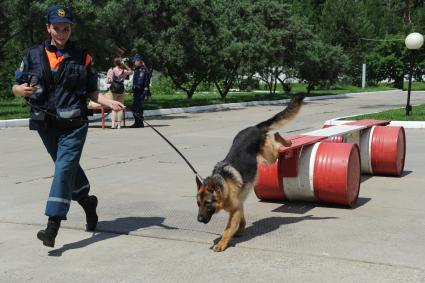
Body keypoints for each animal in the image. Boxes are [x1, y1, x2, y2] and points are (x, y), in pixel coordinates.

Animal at [196, 93, 304, 253]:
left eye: (207, 204)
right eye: (198, 203)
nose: (198, 220)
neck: (224, 184)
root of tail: (255, 127)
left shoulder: (234, 209)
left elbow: (228, 229)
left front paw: (222, 243)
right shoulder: (239, 205)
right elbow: (241, 220)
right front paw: (240, 230)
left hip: (270, 157)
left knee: (277, 147)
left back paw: (284, 141)